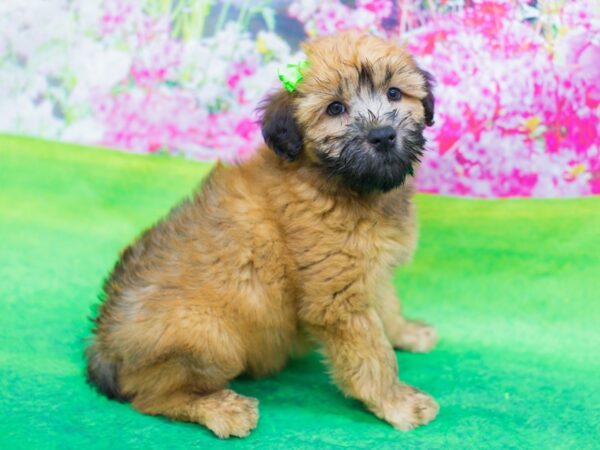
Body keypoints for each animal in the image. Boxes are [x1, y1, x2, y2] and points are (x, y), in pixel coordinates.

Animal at [85, 32, 436, 440]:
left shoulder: (369, 273)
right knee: (152, 396)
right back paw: (221, 408)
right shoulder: (336, 301)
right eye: (335, 108)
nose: (382, 135)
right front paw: (397, 401)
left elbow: (388, 307)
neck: (334, 183)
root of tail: (104, 345)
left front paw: (408, 333)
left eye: (394, 93)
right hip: (210, 335)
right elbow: (373, 357)